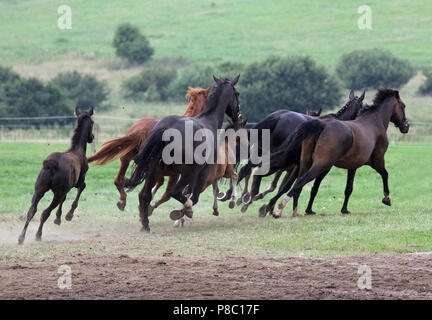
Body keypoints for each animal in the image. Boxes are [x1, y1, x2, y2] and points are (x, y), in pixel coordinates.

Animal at [18, 107, 94, 245]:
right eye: (92, 123)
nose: (92, 137)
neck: (77, 150)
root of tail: (51, 164)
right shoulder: (79, 181)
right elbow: (80, 190)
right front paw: (68, 216)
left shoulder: (65, 188)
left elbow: (64, 198)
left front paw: (58, 218)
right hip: (56, 193)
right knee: (45, 212)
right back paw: (38, 235)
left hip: (39, 190)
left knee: (32, 211)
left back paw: (21, 237)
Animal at [125, 75, 241, 232]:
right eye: (237, 94)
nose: (238, 114)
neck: (208, 121)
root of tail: (167, 129)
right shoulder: (203, 172)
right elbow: (193, 196)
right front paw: (184, 212)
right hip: (188, 172)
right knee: (174, 192)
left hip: (153, 171)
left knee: (145, 195)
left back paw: (145, 224)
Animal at [233, 89, 364, 212]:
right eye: (363, 107)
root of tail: (276, 118)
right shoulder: (310, 166)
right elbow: (294, 186)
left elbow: (288, 185)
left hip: (262, 152)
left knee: (246, 170)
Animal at [264, 88, 410, 218]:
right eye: (403, 105)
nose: (406, 127)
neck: (374, 121)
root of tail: (321, 125)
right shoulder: (378, 160)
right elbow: (385, 175)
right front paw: (386, 198)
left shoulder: (353, 166)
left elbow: (348, 189)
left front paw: (344, 210)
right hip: (321, 165)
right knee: (299, 182)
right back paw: (279, 209)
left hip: (305, 163)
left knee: (293, 184)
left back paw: (275, 207)